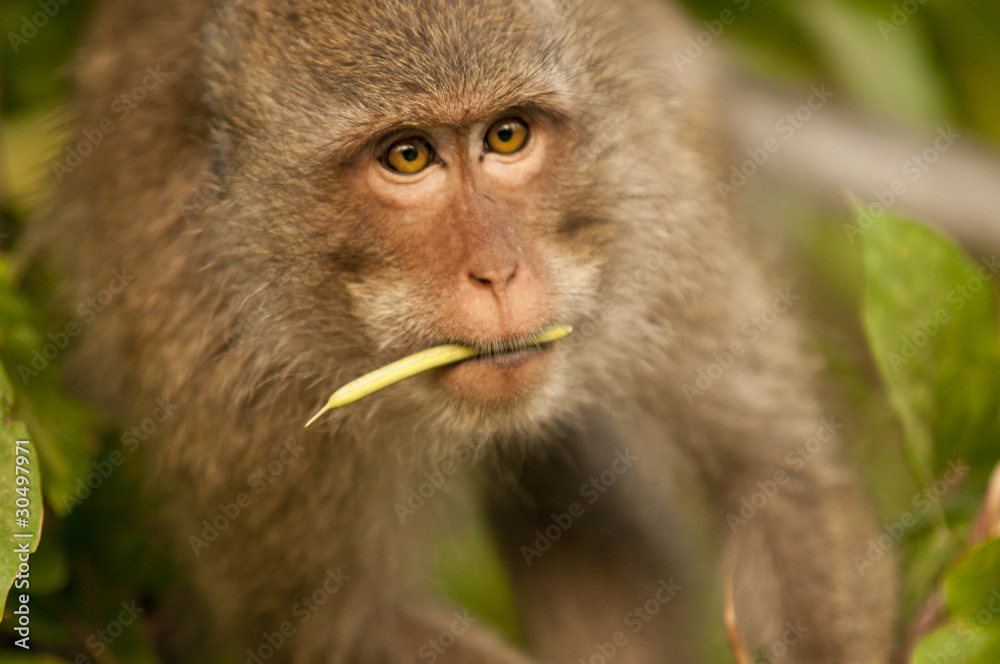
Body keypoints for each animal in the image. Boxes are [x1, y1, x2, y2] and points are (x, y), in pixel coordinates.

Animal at [34, 0, 898, 662]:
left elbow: (773, 472)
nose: (498, 274)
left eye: (508, 136)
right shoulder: (219, 384)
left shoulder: (654, 203)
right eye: (407, 156)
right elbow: (338, 625)